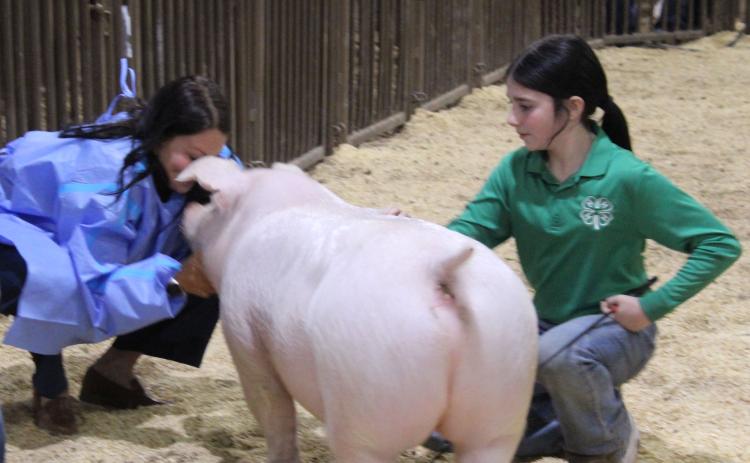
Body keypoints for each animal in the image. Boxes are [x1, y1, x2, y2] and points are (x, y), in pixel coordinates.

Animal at [176, 157, 538, 463]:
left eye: (210, 204)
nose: (188, 205)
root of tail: (439, 271)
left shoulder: (244, 337)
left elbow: (274, 412)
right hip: (502, 393)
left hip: (368, 399)